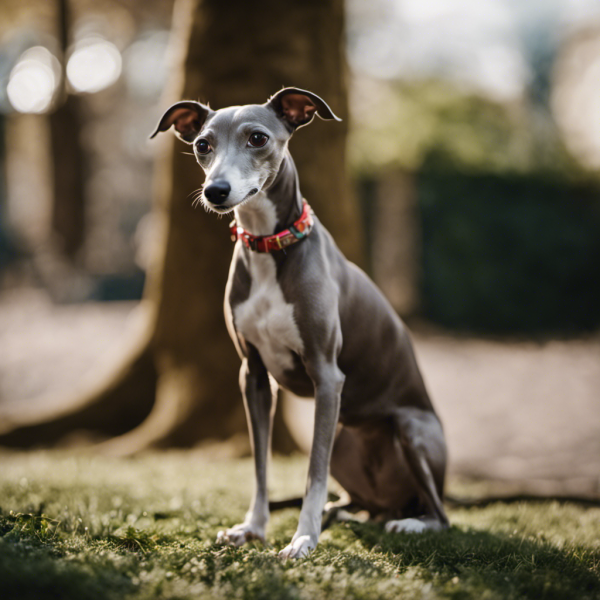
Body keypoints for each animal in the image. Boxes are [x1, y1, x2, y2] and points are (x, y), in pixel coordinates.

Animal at [152, 86, 448, 560]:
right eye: (202, 144)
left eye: (257, 138)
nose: (216, 191)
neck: (270, 246)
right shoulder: (253, 376)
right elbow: (260, 466)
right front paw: (253, 528)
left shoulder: (327, 377)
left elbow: (313, 472)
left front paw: (303, 539)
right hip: (347, 437)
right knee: (361, 505)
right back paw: (346, 514)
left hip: (409, 429)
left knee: (439, 513)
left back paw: (409, 524)